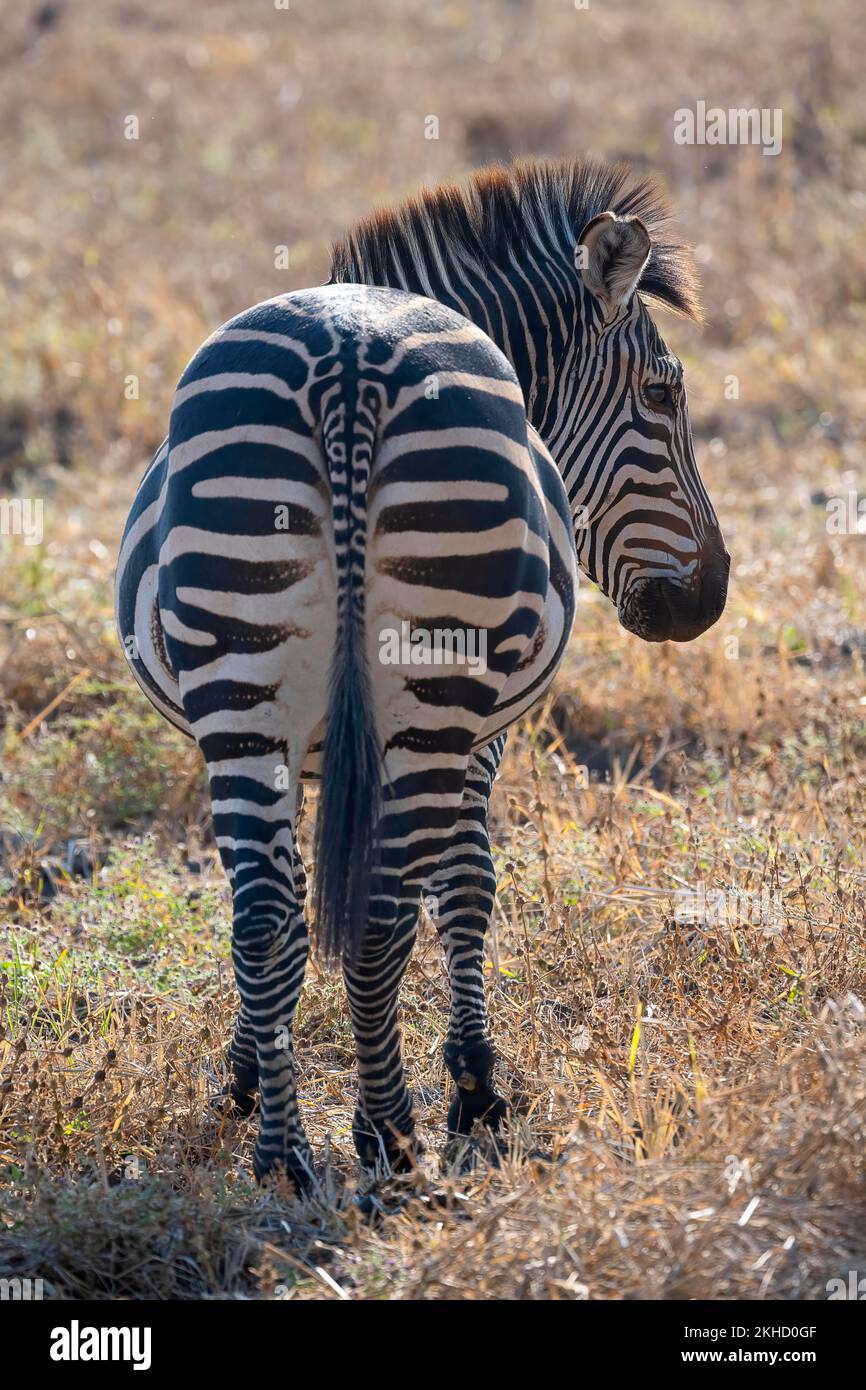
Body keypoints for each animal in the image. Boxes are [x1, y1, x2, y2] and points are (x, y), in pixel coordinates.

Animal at [113, 159, 722, 1184]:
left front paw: (245, 1076)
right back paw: (388, 1140)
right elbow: (469, 881)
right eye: (663, 397)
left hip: (242, 690)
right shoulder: (486, 735)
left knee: (265, 914)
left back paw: (285, 1156)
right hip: (433, 693)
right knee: (383, 912)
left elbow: (286, 913)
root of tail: (351, 356)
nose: (710, 597)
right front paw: (476, 1088)